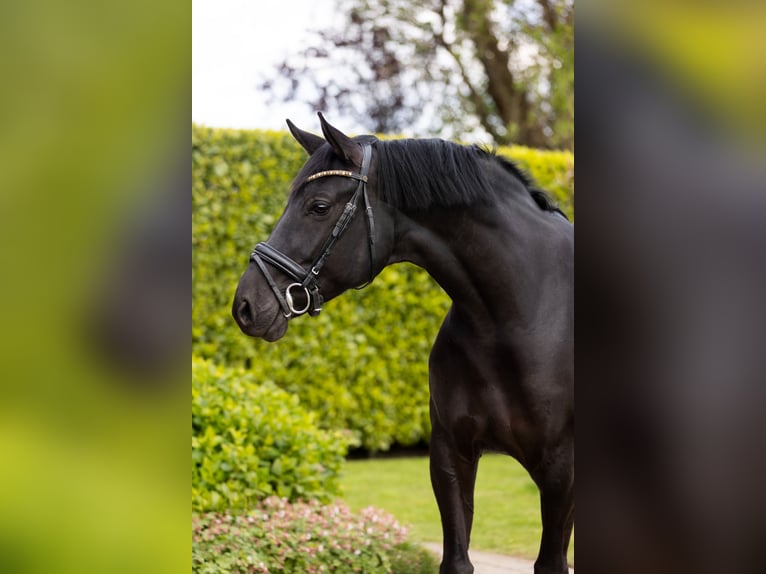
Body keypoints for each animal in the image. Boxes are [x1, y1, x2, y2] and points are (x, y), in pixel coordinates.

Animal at [231, 115, 572, 572]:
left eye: (318, 206)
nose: (246, 305)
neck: (519, 316)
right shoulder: (450, 457)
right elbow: (456, 560)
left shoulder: (561, 472)